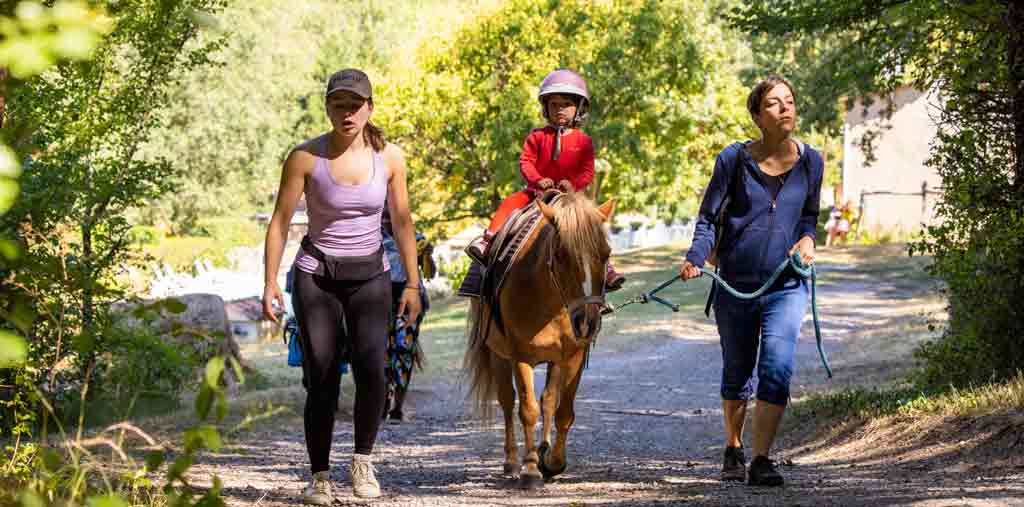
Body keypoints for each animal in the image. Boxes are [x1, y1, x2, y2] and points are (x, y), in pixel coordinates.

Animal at [466, 192, 614, 489]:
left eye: (606, 254)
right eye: (560, 256)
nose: (587, 323)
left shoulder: (573, 357)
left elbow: (562, 410)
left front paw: (552, 462)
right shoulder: (520, 356)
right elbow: (528, 410)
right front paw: (531, 469)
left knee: (548, 399)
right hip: (498, 355)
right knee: (507, 401)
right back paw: (512, 461)